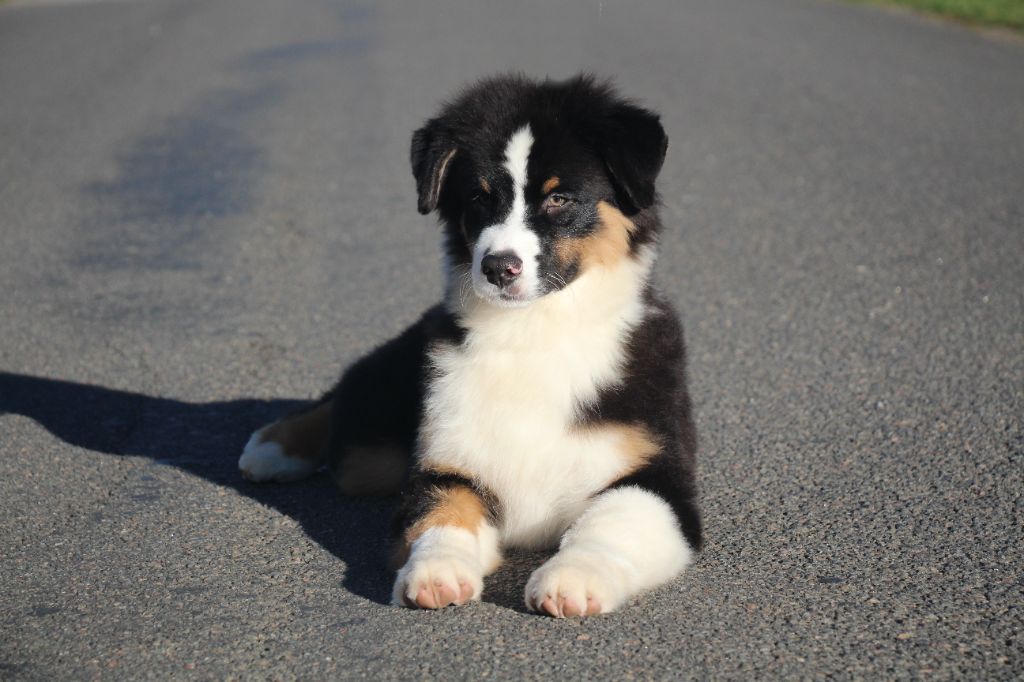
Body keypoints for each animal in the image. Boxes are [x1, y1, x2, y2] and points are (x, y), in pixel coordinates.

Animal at [238, 74, 703, 617]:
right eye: (479, 199)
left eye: (559, 199)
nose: (498, 267)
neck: (534, 330)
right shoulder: (446, 461)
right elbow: (441, 514)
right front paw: (436, 574)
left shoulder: (659, 476)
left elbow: (613, 521)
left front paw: (573, 577)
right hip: (381, 428)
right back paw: (271, 446)